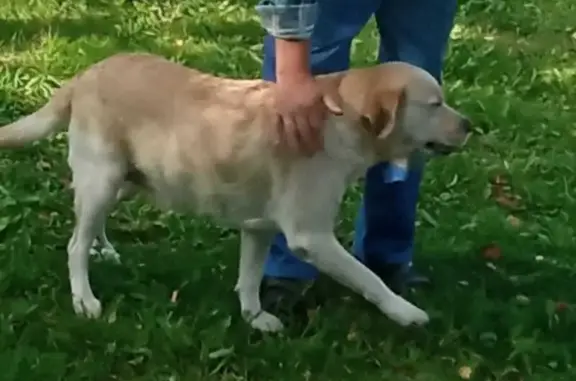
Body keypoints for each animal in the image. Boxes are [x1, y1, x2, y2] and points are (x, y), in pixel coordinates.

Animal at [0, 52, 470, 332]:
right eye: (434, 104)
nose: (470, 125)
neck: (341, 119)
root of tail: (88, 72)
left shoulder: (259, 226)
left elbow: (250, 276)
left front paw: (254, 317)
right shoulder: (312, 237)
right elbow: (369, 278)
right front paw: (404, 312)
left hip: (125, 180)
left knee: (88, 223)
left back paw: (106, 249)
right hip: (104, 178)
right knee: (74, 244)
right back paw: (84, 298)